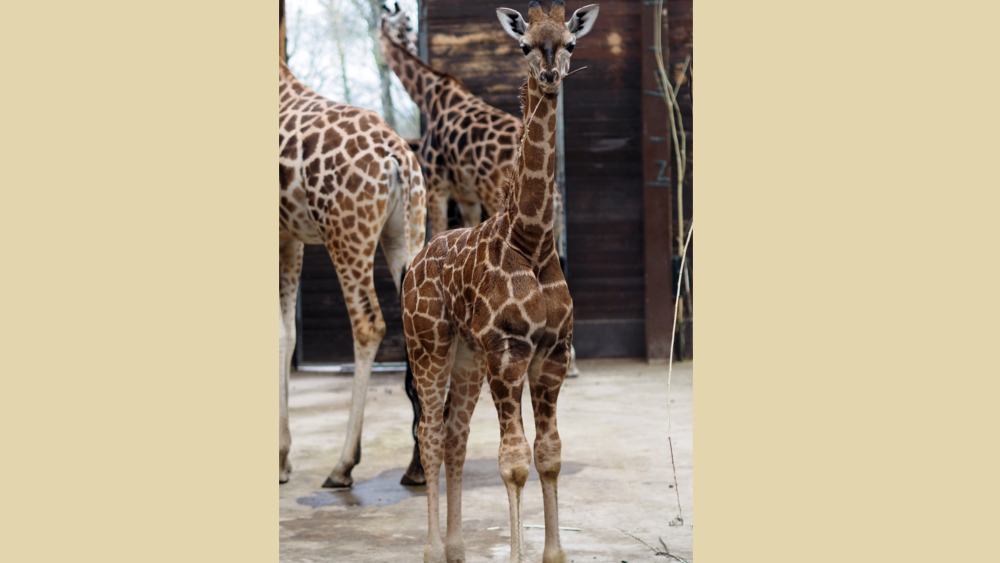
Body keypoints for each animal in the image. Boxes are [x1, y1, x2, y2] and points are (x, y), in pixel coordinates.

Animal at [280, 59, 428, 486]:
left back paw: (343, 464)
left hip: (346, 234)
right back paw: (417, 467)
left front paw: (281, 458)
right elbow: (287, 333)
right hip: (407, 230)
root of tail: (397, 155)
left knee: (368, 324)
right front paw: (283, 459)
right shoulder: (290, 236)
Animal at [400, 2, 600, 560]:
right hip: (428, 346)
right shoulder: (508, 352)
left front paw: (554, 553)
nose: (549, 76)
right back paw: (431, 550)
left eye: (571, 44)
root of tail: (414, 264)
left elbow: (549, 453)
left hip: (466, 358)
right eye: (524, 45)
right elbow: (513, 460)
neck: (530, 239)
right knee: (430, 434)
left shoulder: (552, 352)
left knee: (454, 436)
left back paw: (456, 548)